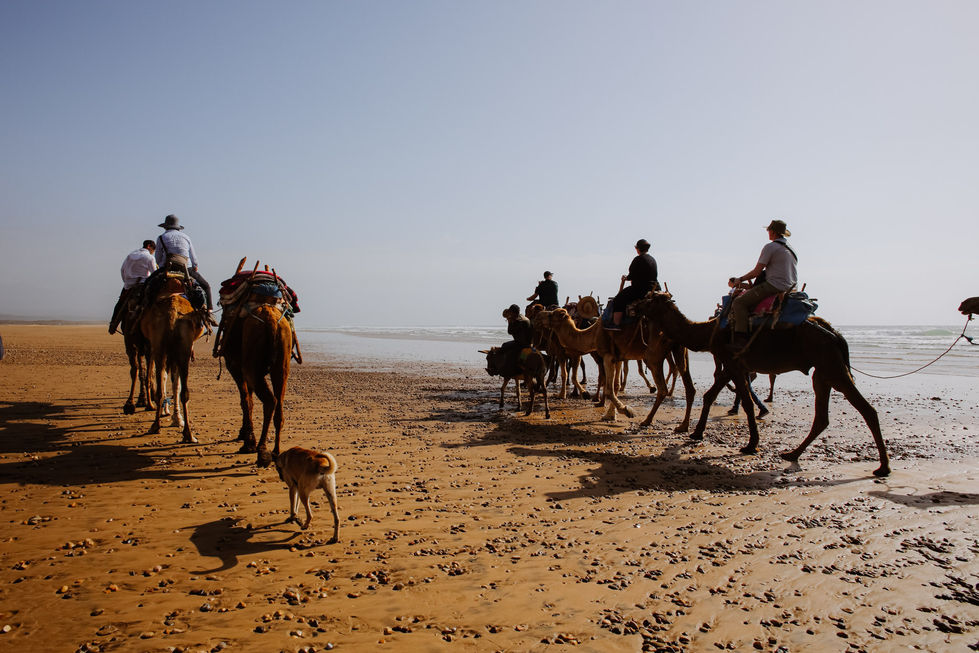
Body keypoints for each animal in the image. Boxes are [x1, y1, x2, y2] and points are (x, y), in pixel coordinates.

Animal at [140, 276, 205, 442]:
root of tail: (173, 313)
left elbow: (170, 381)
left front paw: (176, 418)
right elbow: (176, 383)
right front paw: (177, 418)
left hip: (161, 347)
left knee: (163, 384)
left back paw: (156, 426)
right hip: (181, 348)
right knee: (183, 390)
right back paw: (189, 434)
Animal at [543, 308, 696, 431]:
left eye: (551, 315)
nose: (542, 316)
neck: (594, 333)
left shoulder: (608, 356)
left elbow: (609, 389)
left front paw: (627, 411)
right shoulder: (617, 358)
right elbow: (615, 386)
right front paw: (610, 415)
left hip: (654, 354)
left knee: (663, 387)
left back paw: (647, 420)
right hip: (679, 348)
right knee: (688, 386)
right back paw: (683, 426)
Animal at [631, 292, 890, 477]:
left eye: (650, 299)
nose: (633, 305)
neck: (709, 331)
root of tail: (835, 334)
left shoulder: (733, 361)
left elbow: (744, 402)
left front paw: (750, 444)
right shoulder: (732, 363)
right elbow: (710, 395)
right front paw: (696, 432)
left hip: (831, 365)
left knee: (866, 409)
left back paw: (883, 467)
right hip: (823, 371)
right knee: (822, 417)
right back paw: (792, 453)